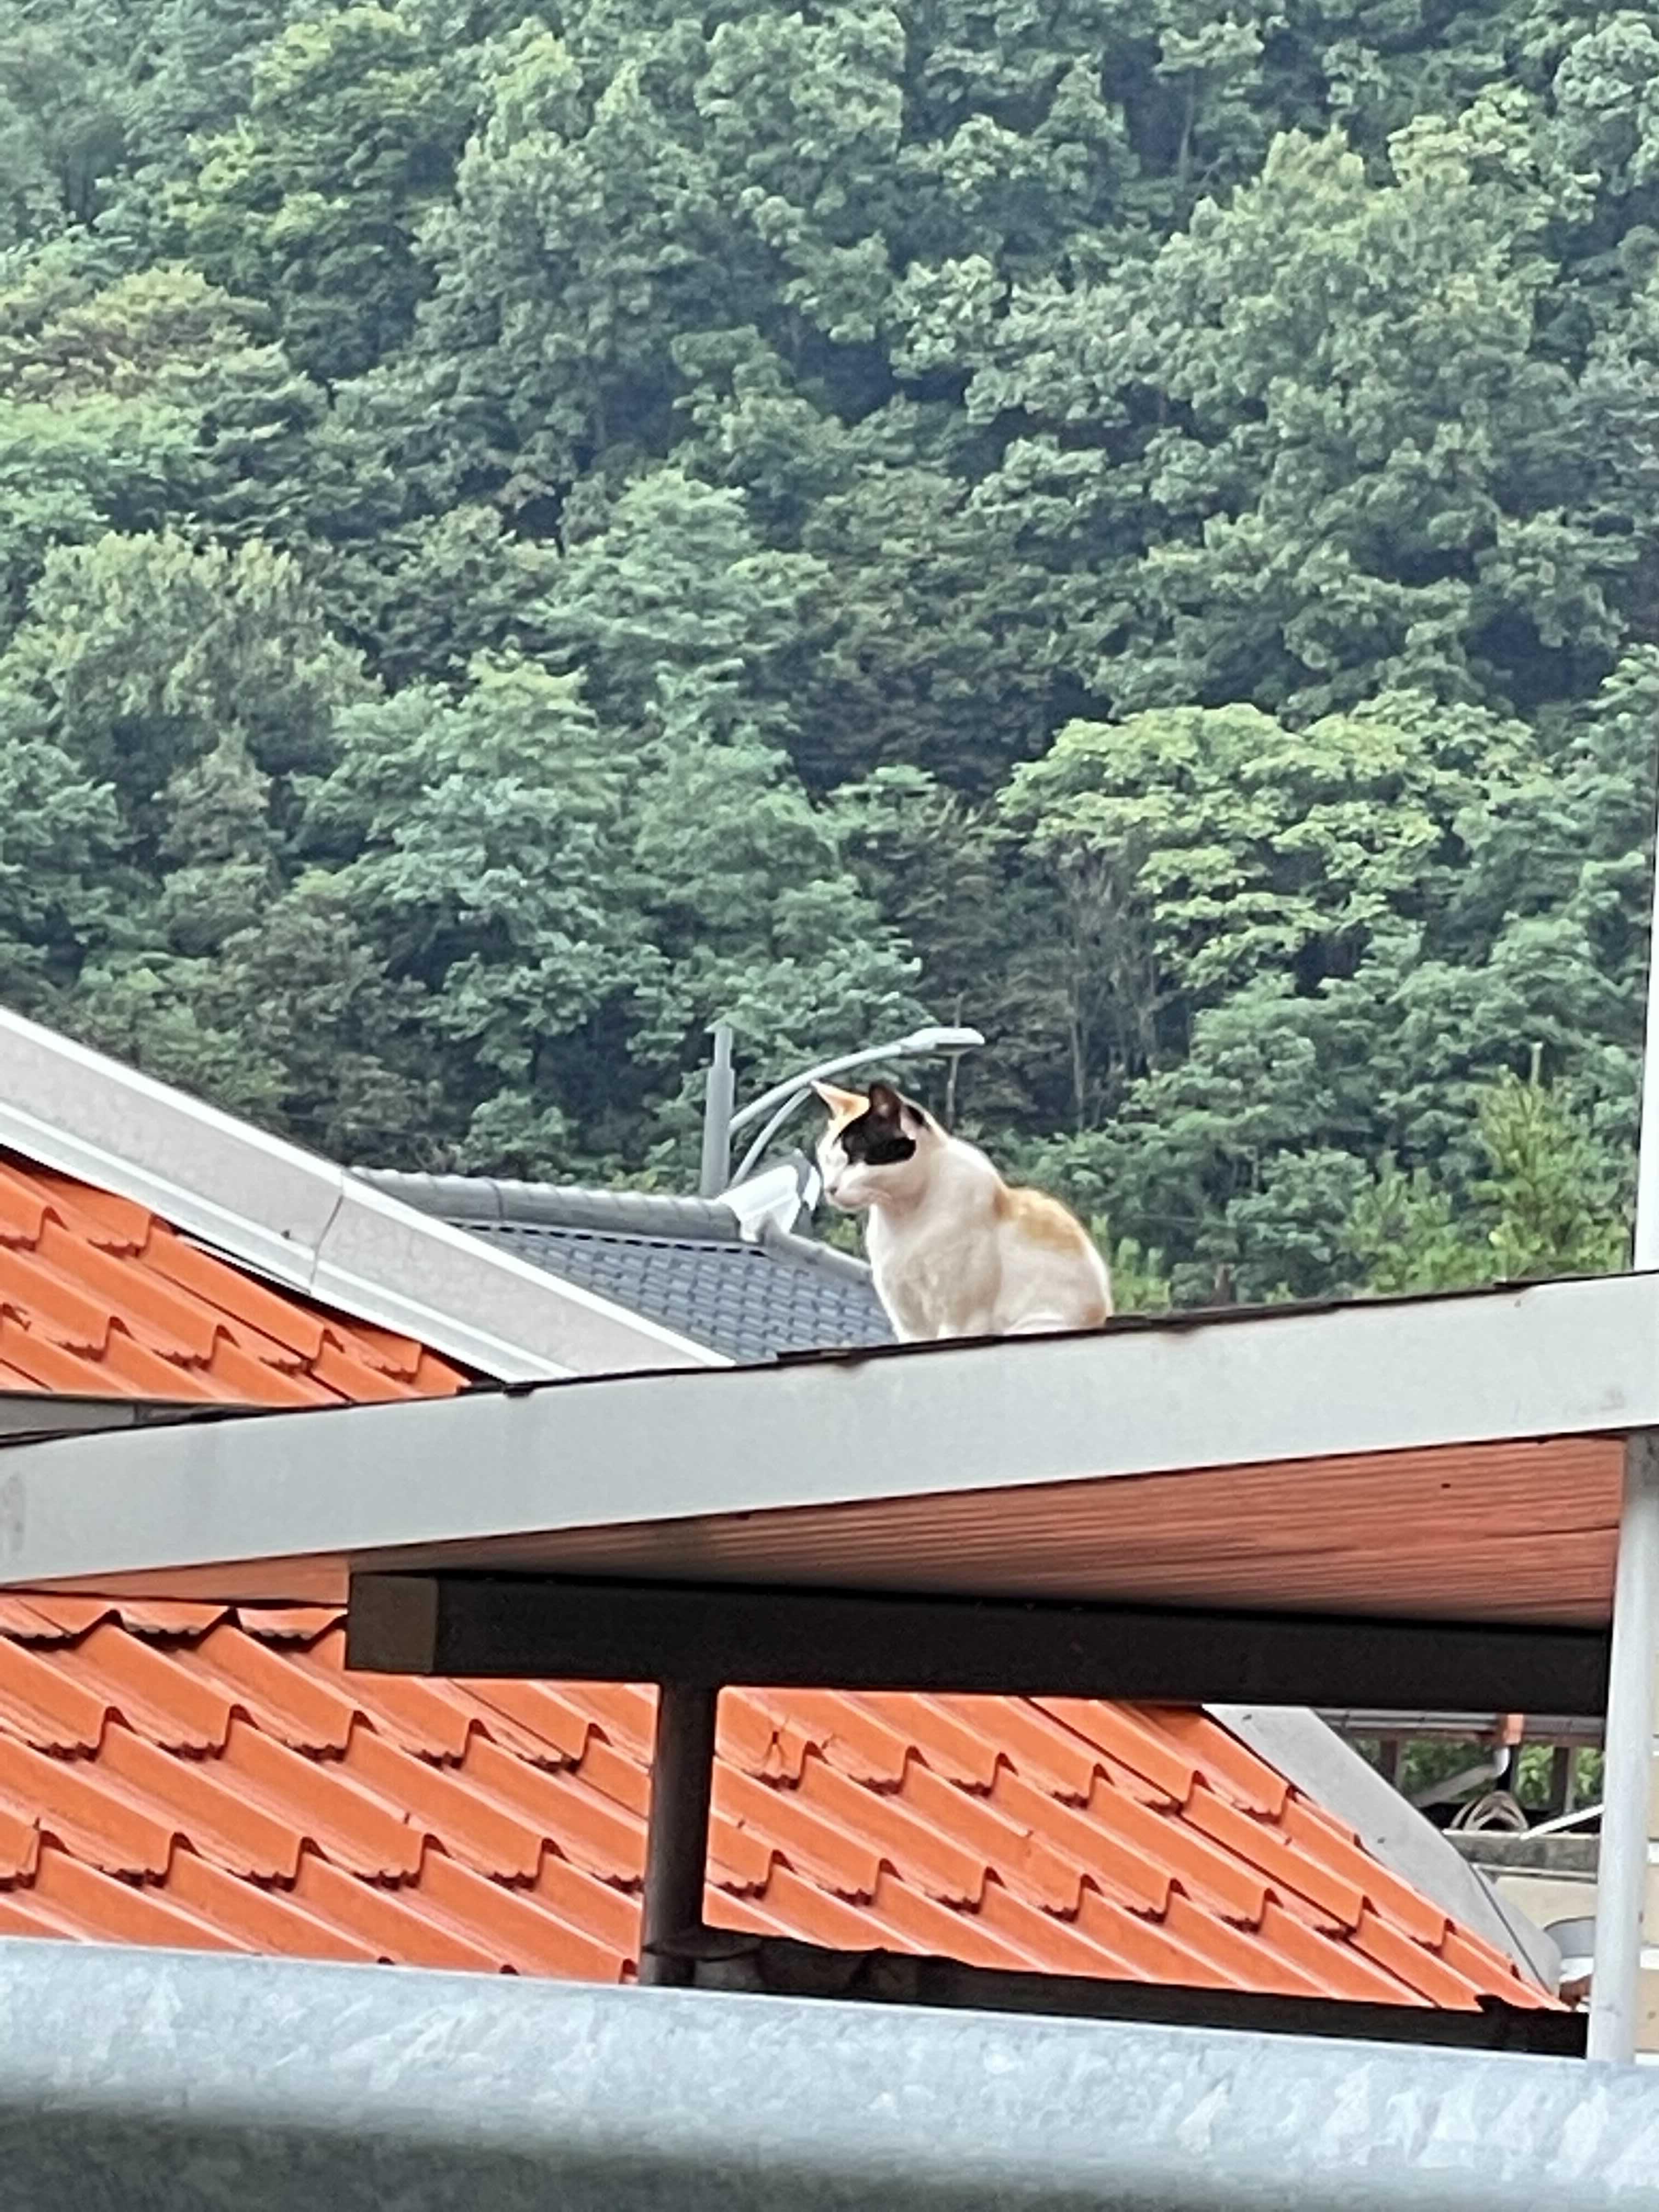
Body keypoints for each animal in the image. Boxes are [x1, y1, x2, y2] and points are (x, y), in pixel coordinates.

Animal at [812, 1078, 1112, 1342]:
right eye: (827, 1161)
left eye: (855, 1159)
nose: (829, 1188)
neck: (906, 1215)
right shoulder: (909, 1324)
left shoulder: (962, 1319)